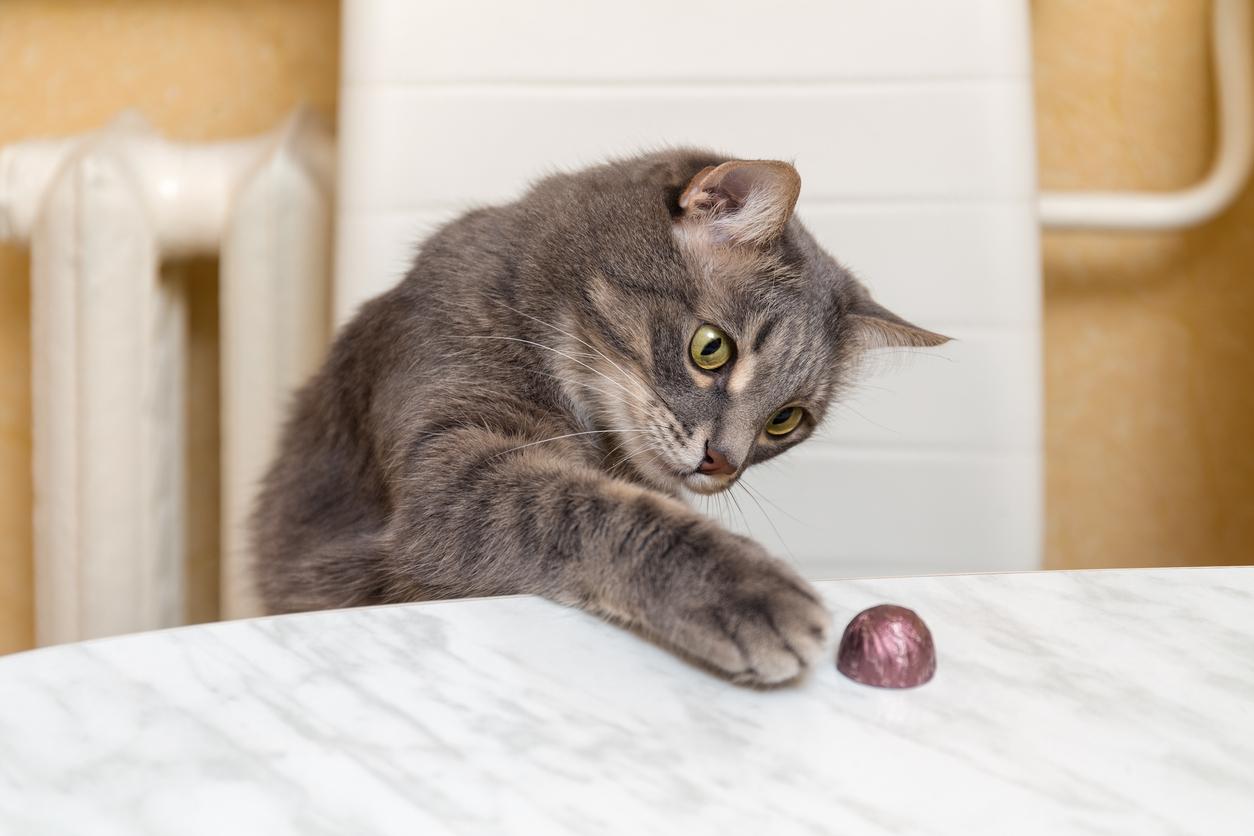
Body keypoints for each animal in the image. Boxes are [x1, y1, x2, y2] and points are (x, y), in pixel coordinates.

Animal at [252, 150, 943, 686]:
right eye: (711, 348)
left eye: (785, 419)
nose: (723, 462)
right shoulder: (448, 474)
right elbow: (592, 507)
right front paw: (749, 589)